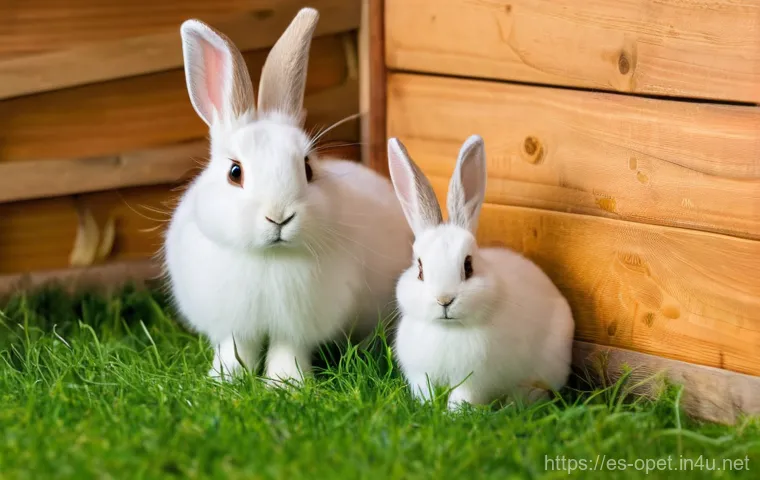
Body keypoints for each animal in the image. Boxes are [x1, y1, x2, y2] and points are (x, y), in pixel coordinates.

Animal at [163, 8, 412, 384]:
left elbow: (287, 351)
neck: (268, 258)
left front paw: (286, 385)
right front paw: (224, 381)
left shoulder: (296, 327)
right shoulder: (235, 326)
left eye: (308, 169)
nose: (279, 217)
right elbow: (235, 350)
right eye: (234, 172)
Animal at [387, 135, 575, 410]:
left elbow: (463, 398)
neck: (448, 329)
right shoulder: (420, 375)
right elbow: (425, 393)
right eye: (420, 269)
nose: (444, 300)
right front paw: (427, 408)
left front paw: (452, 414)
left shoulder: (473, 382)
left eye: (468, 266)